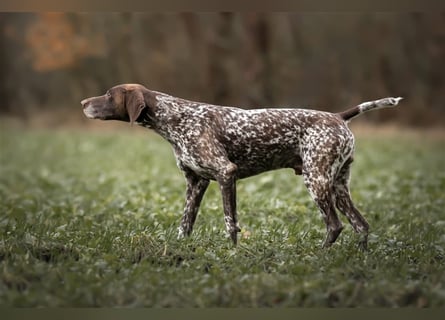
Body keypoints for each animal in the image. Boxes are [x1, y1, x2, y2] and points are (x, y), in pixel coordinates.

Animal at [80, 84, 402, 249]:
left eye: (108, 94)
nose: (83, 102)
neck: (175, 118)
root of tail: (338, 116)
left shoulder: (226, 173)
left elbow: (229, 222)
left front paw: (232, 254)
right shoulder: (196, 183)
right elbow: (185, 223)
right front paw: (180, 252)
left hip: (317, 182)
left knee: (335, 225)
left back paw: (320, 257)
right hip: (337, 186)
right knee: (361, 225)